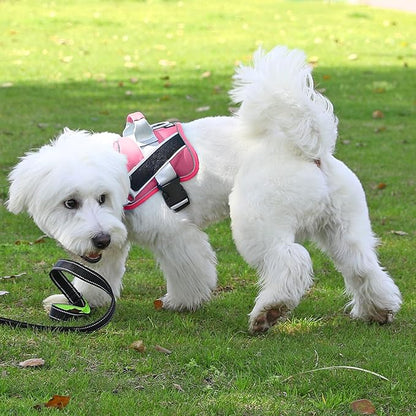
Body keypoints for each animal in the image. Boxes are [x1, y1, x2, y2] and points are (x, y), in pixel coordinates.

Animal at [7, 46, 404, 332]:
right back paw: (378, 309)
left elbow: (189, 270)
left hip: (256, 221)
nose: (100, 238)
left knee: (290, 260)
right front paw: (86, 300)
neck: (129, 176)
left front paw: (183, 301)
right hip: (343, 226)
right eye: (70, 203)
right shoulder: (112, 243)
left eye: (100, 198)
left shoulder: (175, 234)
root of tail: (308, 150)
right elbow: (99, 274)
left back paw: (269, 310)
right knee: (362, 266)